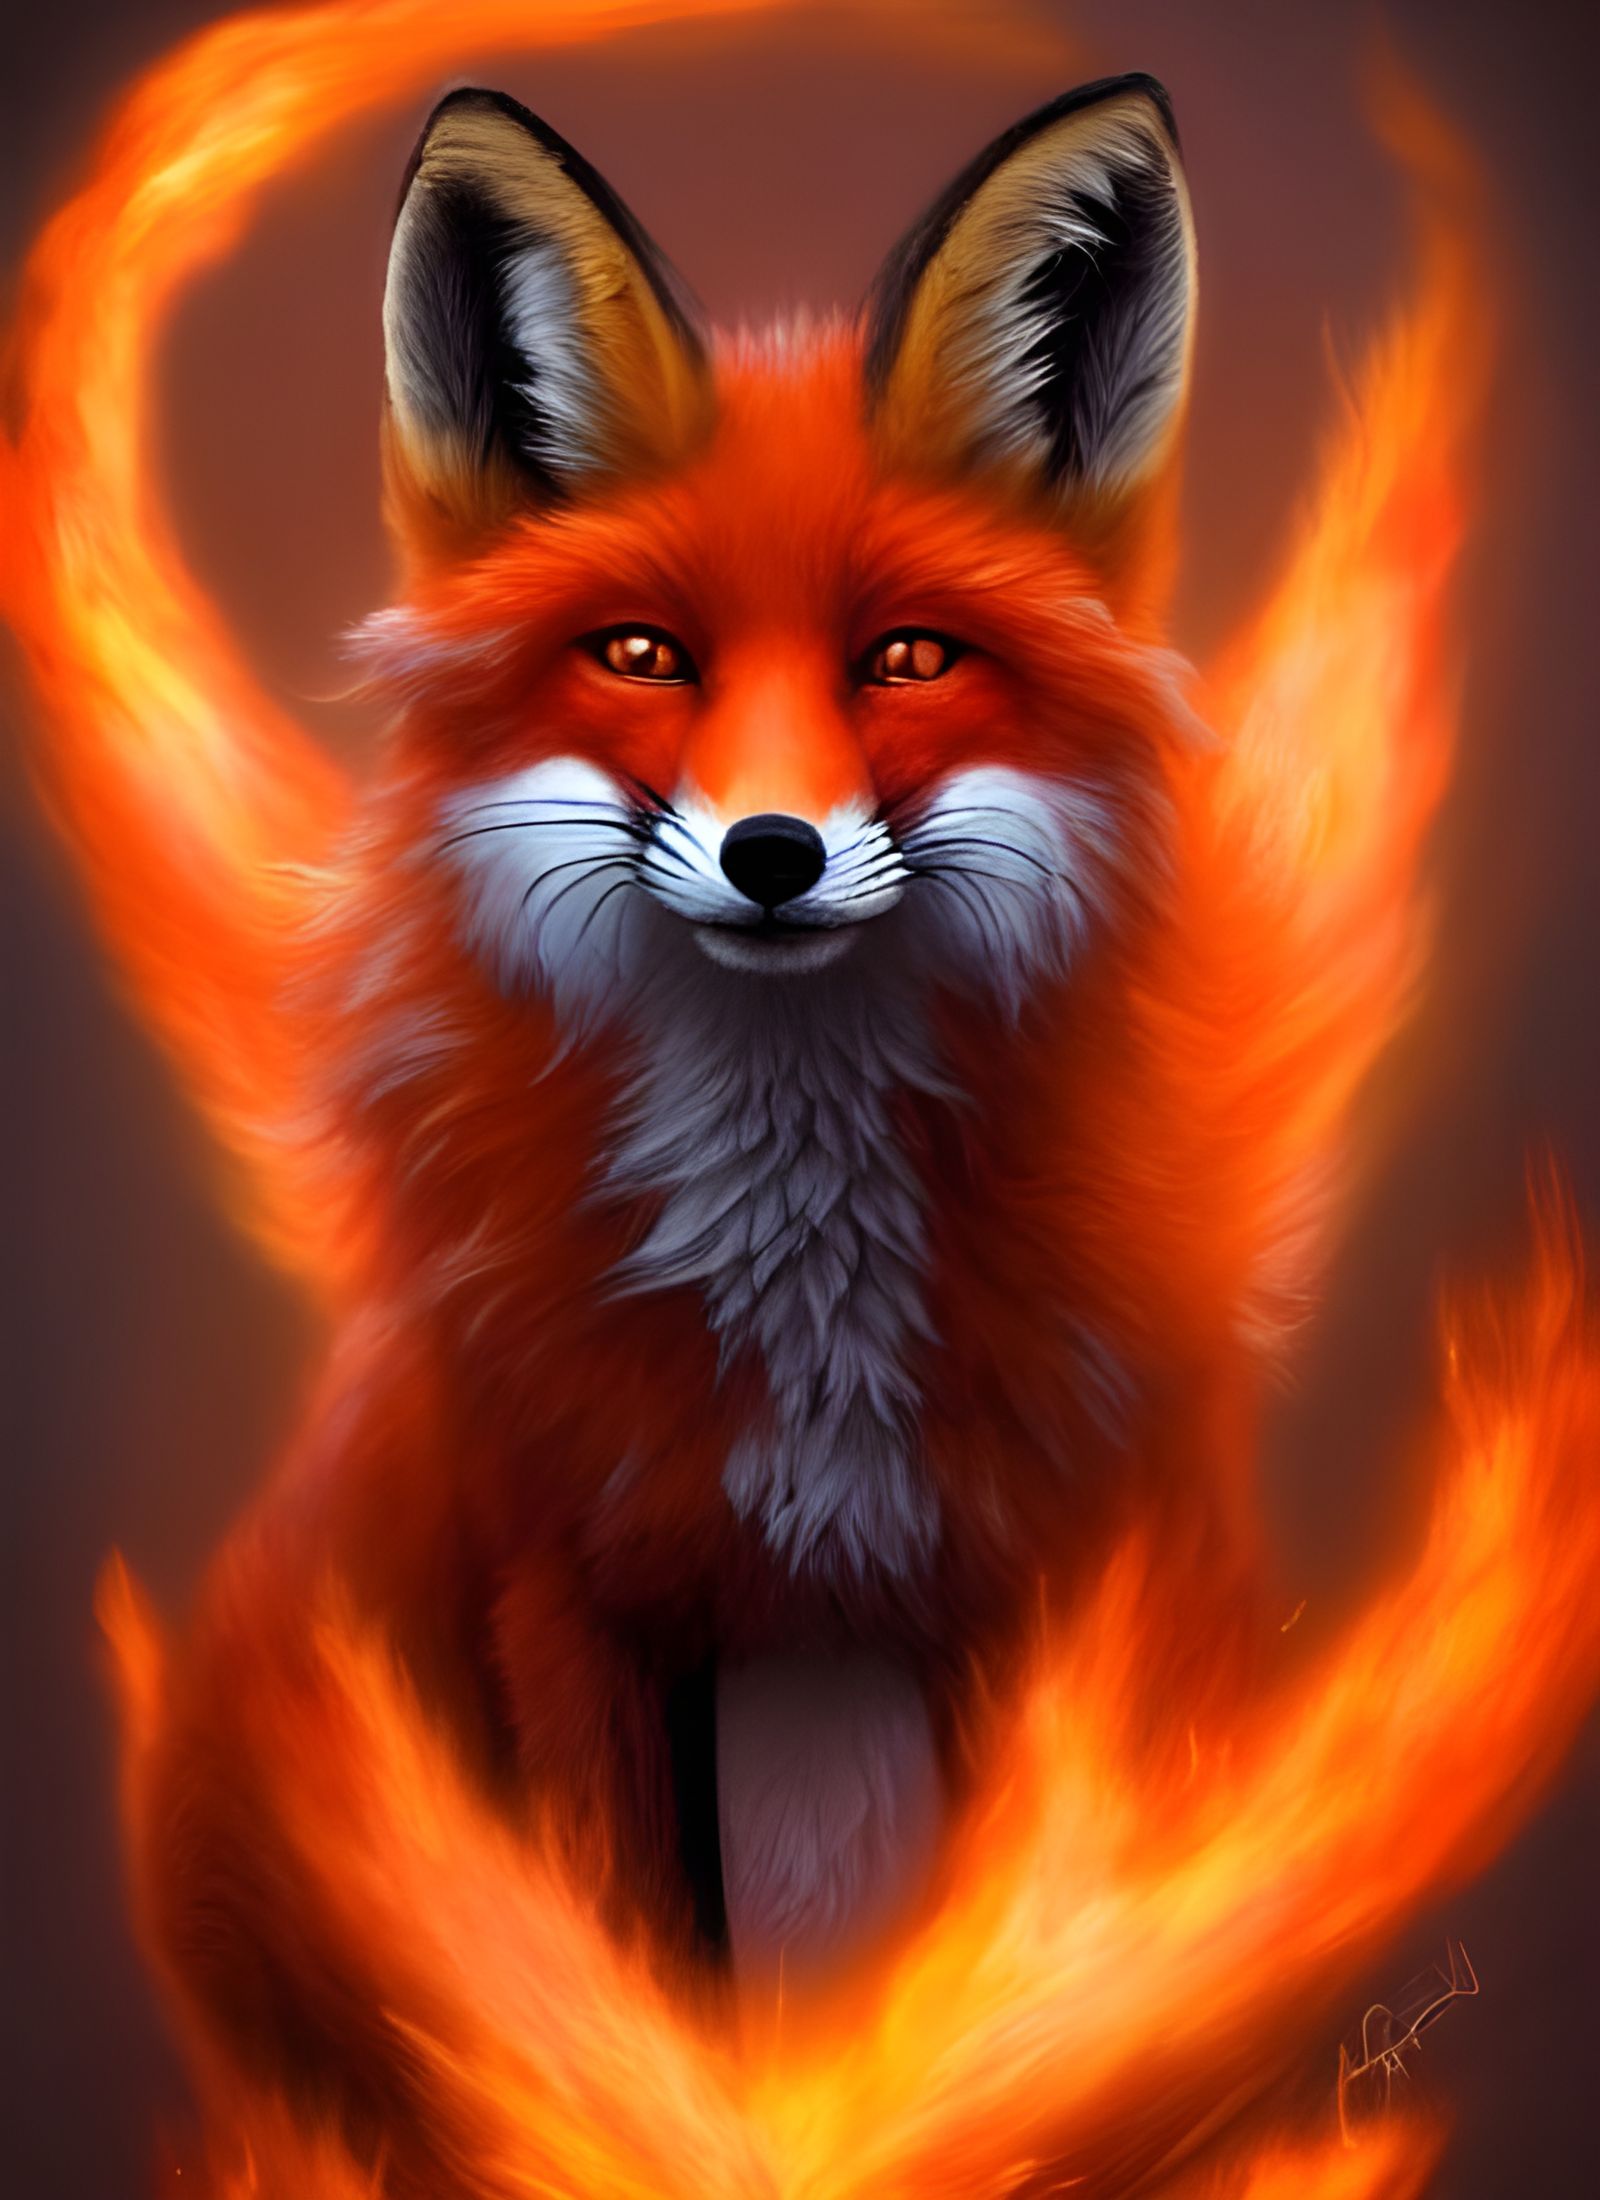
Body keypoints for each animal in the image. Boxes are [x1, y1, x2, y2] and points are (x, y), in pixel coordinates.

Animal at [11, 25, 1600, 2197]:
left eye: (905, 658)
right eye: (645, 655)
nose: (772, 853)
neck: (806, 1309)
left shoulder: (1056, 1604)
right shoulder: (568, 1592)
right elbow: (619, 1965)